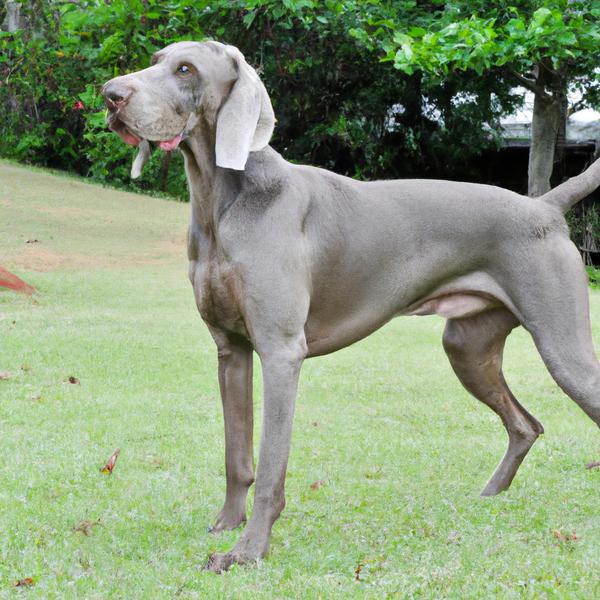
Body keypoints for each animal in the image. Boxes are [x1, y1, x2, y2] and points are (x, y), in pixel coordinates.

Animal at [103, 42, 600, 572]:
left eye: (185, 69)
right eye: (157, 59)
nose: (110, 94)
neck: (223, 201)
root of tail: (545, 206)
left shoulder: (281, 352)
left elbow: (271, 463)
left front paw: (248, 550)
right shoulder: (231, 349)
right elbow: (237, 456)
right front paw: (227, 525)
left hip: (562, 348)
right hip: (467, 346)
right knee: (525, 425)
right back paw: (488, 496)